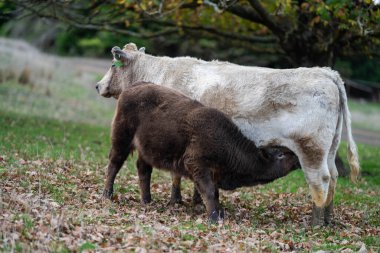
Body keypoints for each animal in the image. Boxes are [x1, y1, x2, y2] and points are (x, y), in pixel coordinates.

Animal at [97, 43, 360, 225]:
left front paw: (177, 200)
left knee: (320, 181)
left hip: (311, 151)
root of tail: (326, 73)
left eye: (112, 65)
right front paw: (191, 200)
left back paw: (315, 223)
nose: (98, 86)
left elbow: (176, 175)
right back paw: (327, 219)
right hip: (330, 150)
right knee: (334, 177)